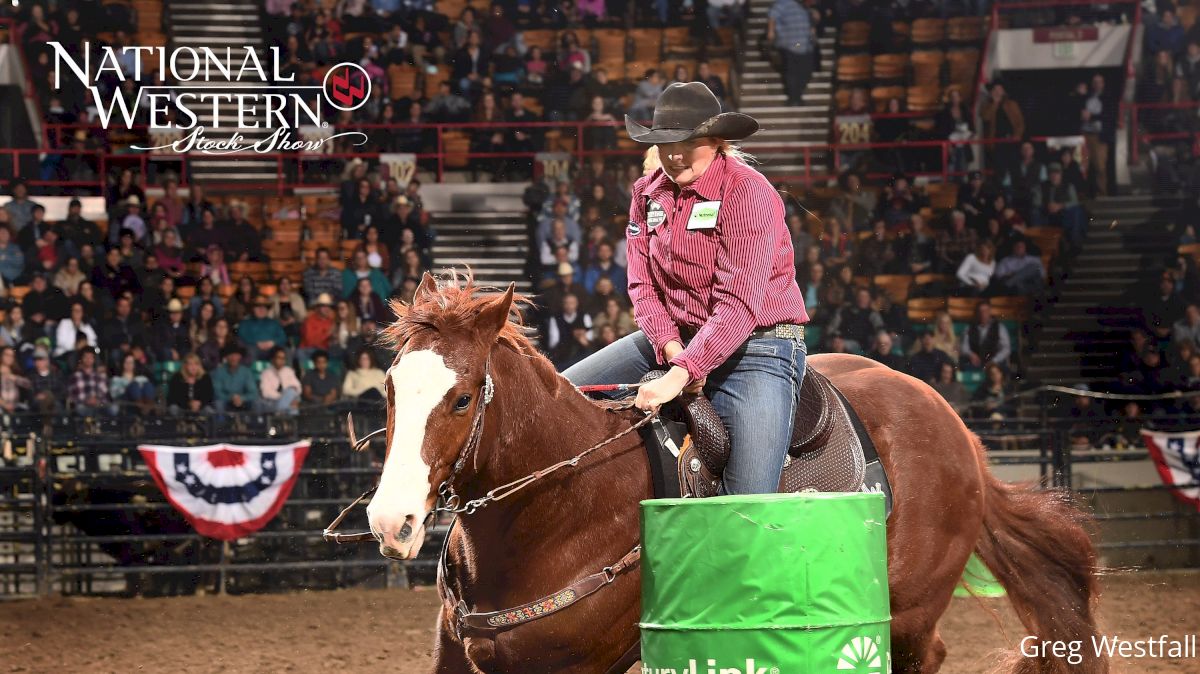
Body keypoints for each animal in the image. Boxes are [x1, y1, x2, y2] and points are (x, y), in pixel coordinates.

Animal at [364, 273, 1104, 671]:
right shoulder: (458, 655)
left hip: (911, 611)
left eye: (462, 398)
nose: (391, 520)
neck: (561, 503)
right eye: (391, 388)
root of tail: (957, 429)